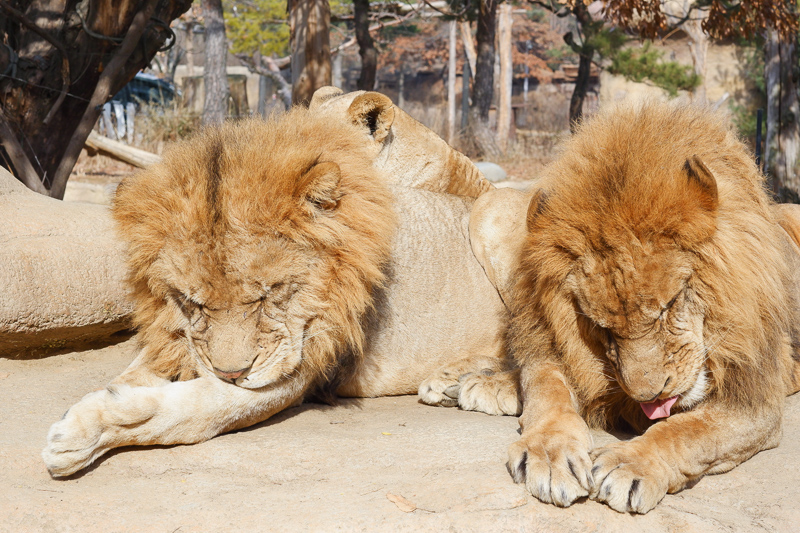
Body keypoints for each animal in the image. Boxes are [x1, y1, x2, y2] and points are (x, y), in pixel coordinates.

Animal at [42, 89, 512, 476]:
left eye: (268, 296)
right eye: (194, 303)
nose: (232, 372)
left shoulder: (298, 369)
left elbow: (196, 412)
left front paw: (83, 431)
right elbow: (139, 371)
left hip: (492, 214)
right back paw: (451, 380)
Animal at [500, 100, 800, 512]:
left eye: (669, 305)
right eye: (602, 327)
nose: (649, 397)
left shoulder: (754, 401)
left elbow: (688, 430)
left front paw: (631, 463)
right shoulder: (550, 344)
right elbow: (547, 388)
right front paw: (549, 452)